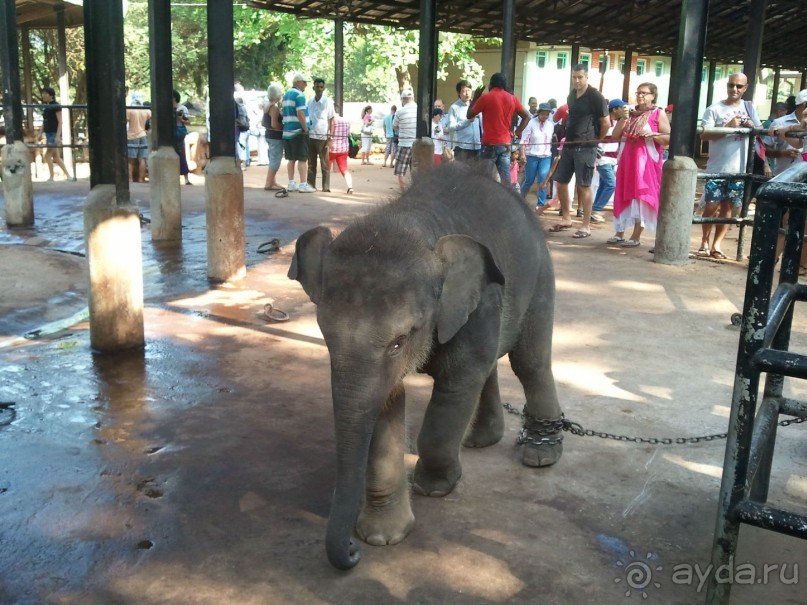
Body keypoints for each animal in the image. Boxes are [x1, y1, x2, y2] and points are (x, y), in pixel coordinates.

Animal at [288, 159, 560, 568]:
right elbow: (386, 402)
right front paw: (383, 537)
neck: (413, 223)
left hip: (541, 273)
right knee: (492, 366)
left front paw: (435, 487)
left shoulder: (479, 302)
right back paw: (480, 440)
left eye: (400, 341)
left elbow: (457, 384)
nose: (351, 551)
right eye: (325, 336)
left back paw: (541, 454)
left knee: (530, 362)